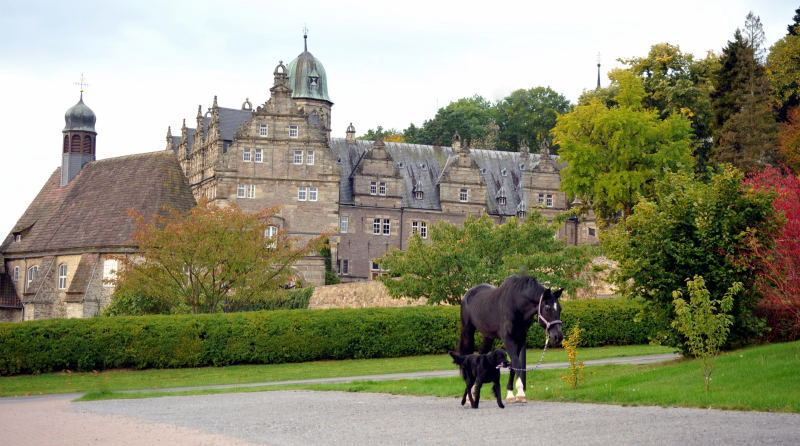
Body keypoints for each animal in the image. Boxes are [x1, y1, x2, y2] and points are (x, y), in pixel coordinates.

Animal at [460, 274, 564, 402]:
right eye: (547, 308)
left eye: (560, 308)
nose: (558, 336)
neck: (516, 304)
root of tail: (467, 294)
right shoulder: (508, 340)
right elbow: (516, 363)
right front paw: (521, 393)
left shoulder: (520, 339)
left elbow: (513, 366)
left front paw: (510, 394)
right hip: (467, 331)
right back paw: (468, 396)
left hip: (487, 336)